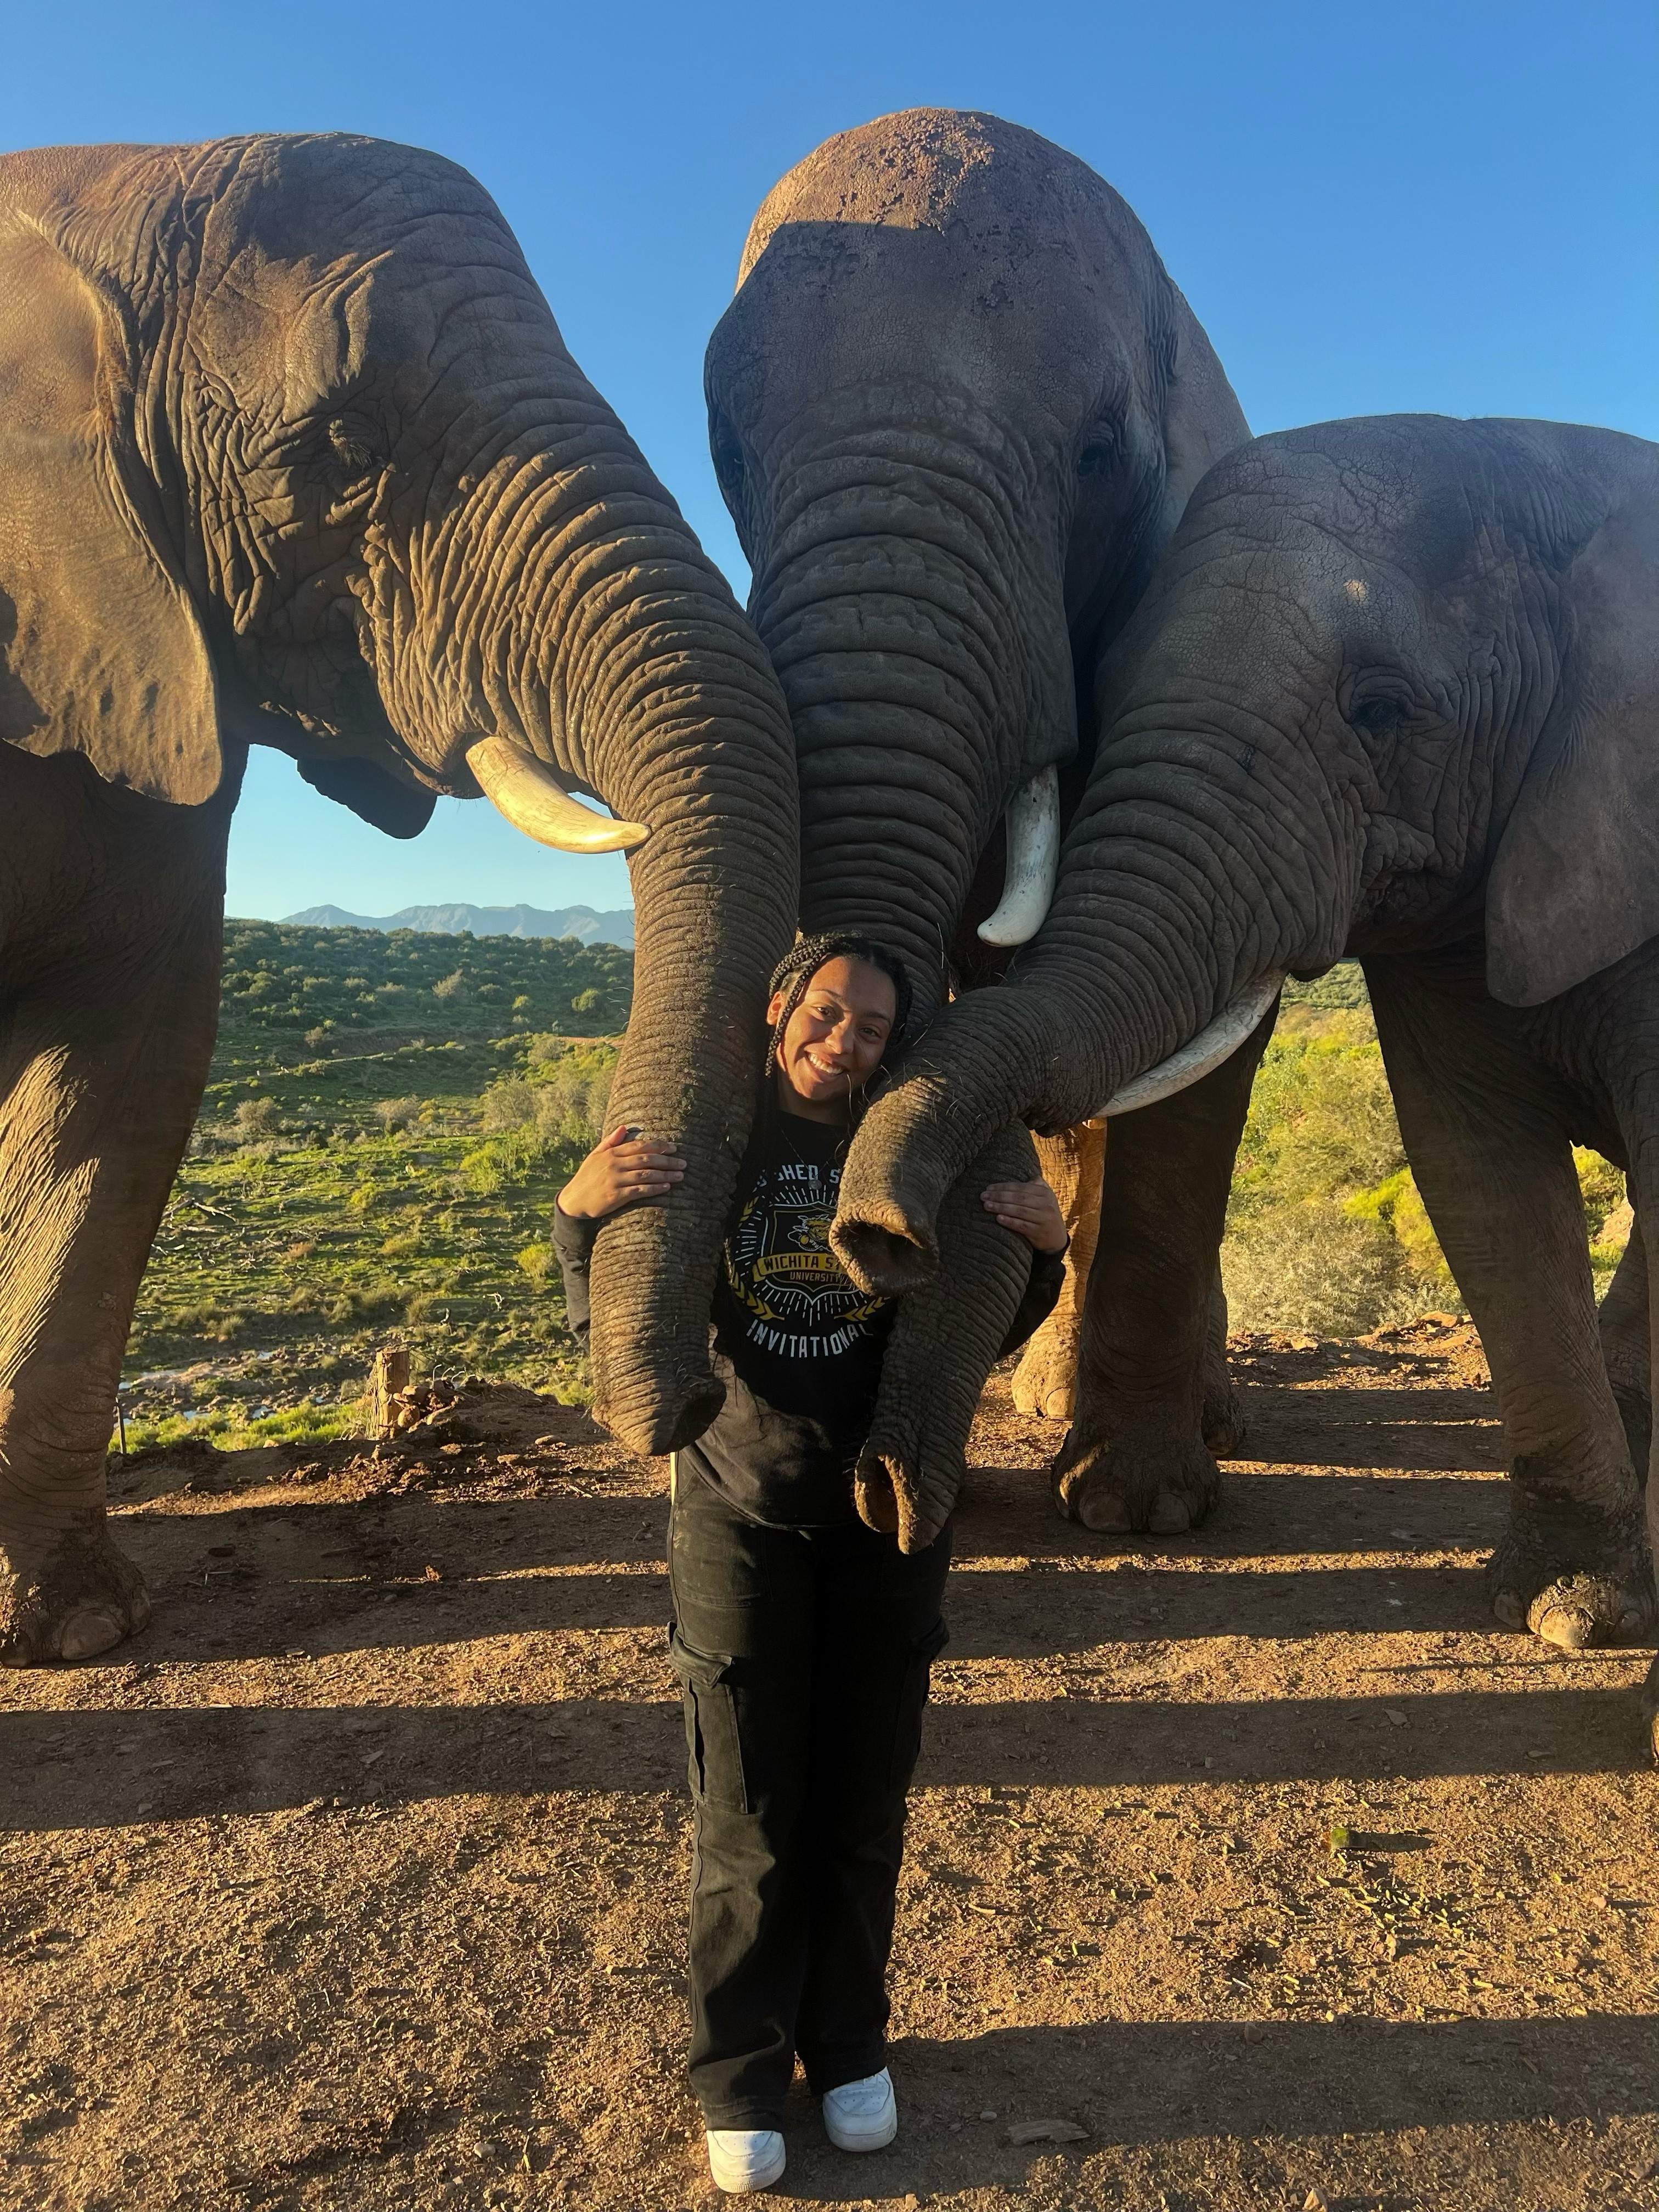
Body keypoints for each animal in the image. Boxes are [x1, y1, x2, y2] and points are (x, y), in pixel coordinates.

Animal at [832, 411, 1659, 1701]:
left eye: (1381, 709)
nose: (877, 1240)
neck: (1545, 462)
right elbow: (1485, 1190)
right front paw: (1565, 1608)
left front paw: (1576, 1616)